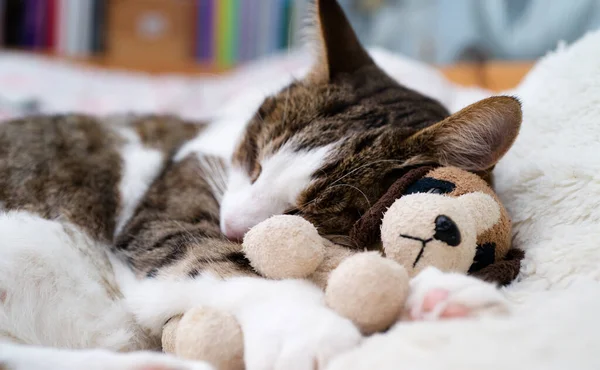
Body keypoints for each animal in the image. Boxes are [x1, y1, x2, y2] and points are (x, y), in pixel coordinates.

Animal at [0, 0, 520, 370]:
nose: (232, 225)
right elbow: (219, 261)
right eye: (253, 158)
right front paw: (311, 329)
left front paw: (436, 299)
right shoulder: (166, 216)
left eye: (304, 213)